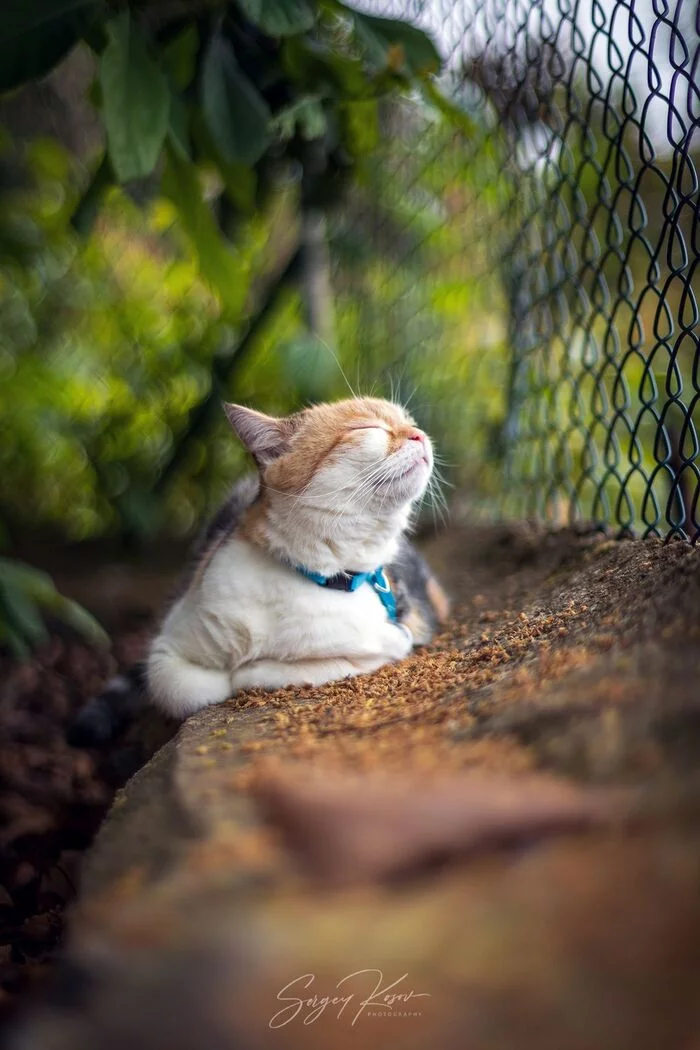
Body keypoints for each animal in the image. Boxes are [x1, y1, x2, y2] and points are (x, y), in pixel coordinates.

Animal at [71, 398, 449, 739]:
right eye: (367, 428)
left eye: (409, 421)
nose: (419, 433)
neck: (316, 576)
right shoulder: (166, 648)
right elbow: (186, 687)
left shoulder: (403, 630)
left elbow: (331, 661)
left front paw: (255, 668)